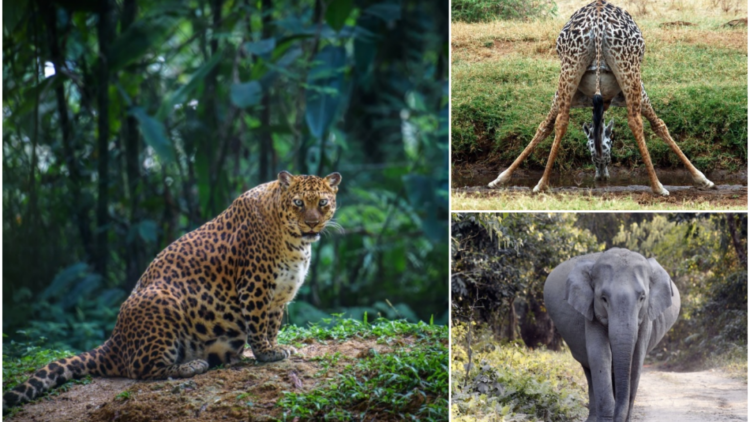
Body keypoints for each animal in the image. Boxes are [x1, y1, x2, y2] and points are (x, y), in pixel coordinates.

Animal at [2, 171, 344, 408]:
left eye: (322, 203)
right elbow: (259, 326)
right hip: (162, 303)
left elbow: (271, 325)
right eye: (298, 203)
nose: (312, 223)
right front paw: (267, 353)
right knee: (140, 369)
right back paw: (191, 366)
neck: (296, 242)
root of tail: (114, 340)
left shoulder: (279, 295)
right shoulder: (255, 286)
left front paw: (275, 347)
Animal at [488, 0, 716, 195]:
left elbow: (544, 127)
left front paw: (500, 179)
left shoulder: (568, 97)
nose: (601, 176)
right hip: (629, 71)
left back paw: (542, 184)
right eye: (611, 142)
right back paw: (658, 186)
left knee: (562, 120)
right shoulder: (641, 93)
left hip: (569, 69)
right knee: (635, 122)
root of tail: (597, 22)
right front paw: (702, 179)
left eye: (602, 147)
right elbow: (659, 125)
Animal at [548, 249, 680, 422]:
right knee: (589, 370)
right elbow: (599, 354)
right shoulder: (591, 310)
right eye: (603, 298)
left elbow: (637, 358)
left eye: (642, 297)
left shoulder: (646, 316)